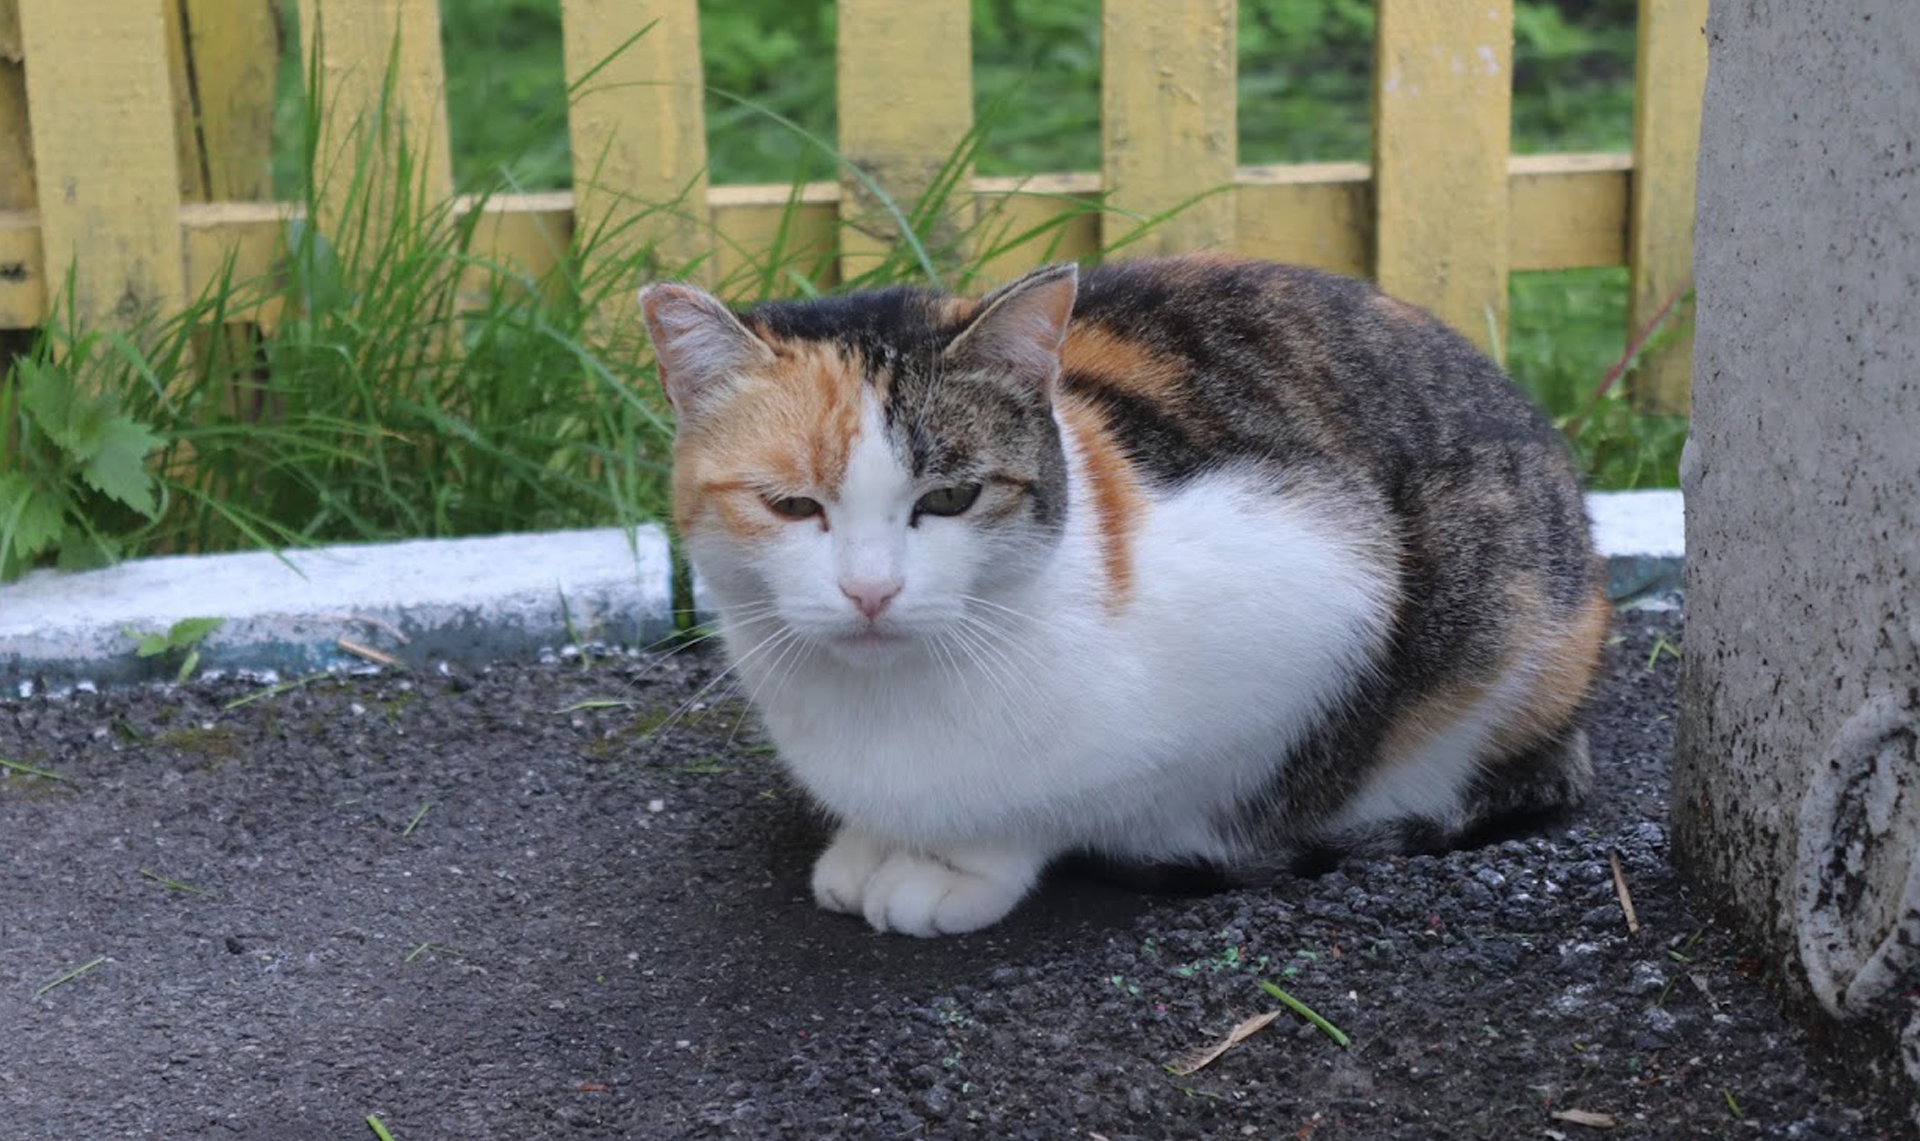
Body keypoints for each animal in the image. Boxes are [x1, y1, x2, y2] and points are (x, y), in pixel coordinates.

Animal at [638, 254, 1608, 937]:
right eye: (791, 505)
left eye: (951, 499)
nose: (871, 590)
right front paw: (871, 845)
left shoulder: (1320, 594)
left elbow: (1084, 799)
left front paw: (955, 864)